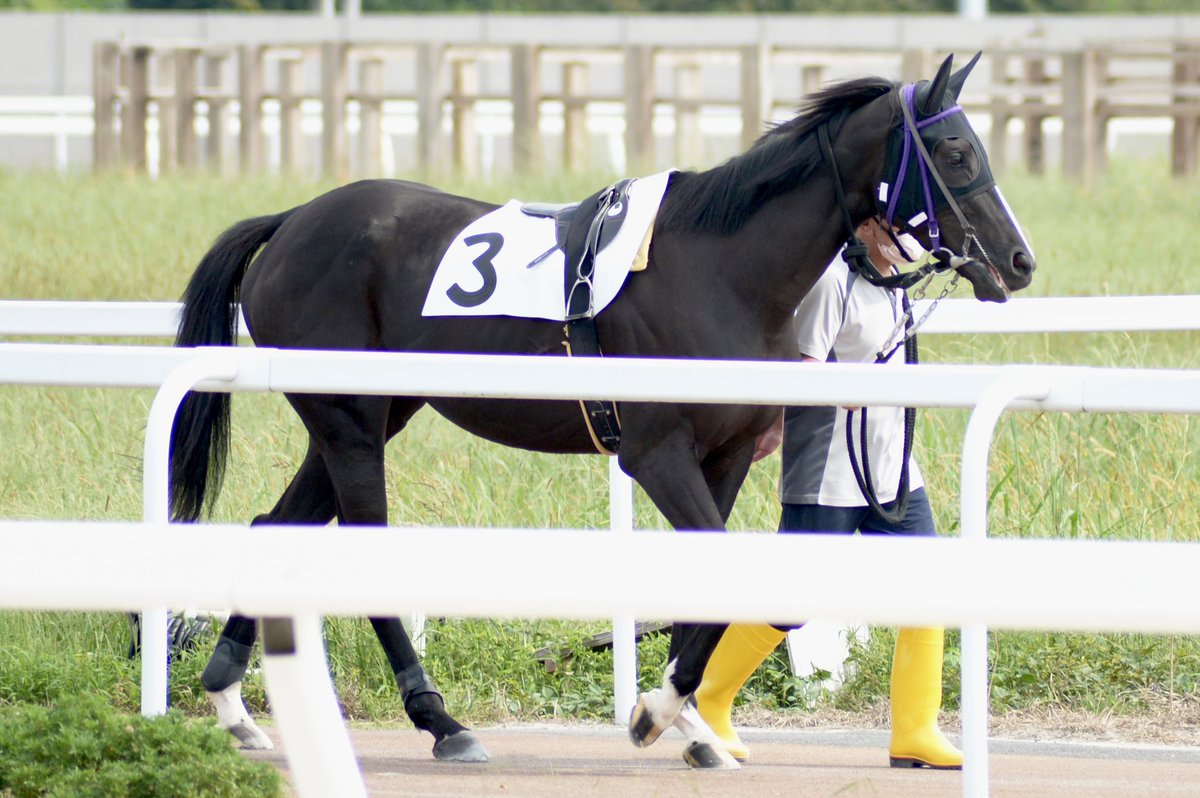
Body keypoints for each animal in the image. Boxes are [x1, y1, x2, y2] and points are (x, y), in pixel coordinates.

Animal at [169, 51, 1033, 768]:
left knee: (274, 527)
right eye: (956, 153)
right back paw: (441, 722)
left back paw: (232, 705)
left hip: (365, 416)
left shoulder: (725, 455)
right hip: (350, 420)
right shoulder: (656, 453)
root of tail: (289, 222)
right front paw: (660, 712)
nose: (1019, 261)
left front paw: (684, 721)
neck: (725, 267)